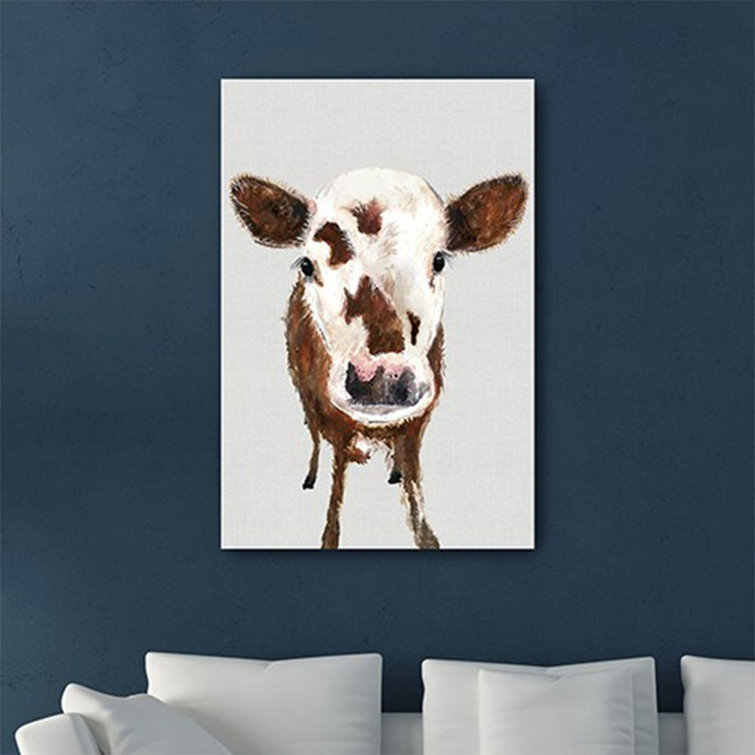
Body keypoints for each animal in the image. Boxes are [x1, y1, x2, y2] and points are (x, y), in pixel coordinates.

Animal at [230, 168, 527, 549]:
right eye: (308, 265)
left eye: (439, 260)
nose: (381, 379)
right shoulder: (334, 421)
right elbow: (336, 494)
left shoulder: (418, 423)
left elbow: (416, 494)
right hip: (303, 390)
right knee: (313, 435)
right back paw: (312, 474)